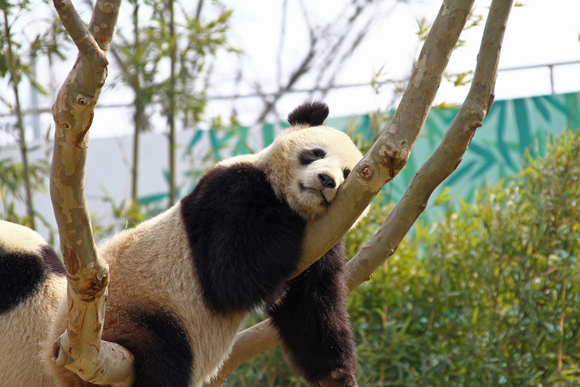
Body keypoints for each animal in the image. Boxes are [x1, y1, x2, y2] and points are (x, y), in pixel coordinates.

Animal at [0, 101, 362, 386]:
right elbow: (229, 275)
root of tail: (60, 354)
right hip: (131, 315)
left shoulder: (324, 237)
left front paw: (336, 374)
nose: (326, 180)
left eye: (347, 172)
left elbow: (310, 300)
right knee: (164, 353)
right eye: (315, 153)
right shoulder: (229, 193)